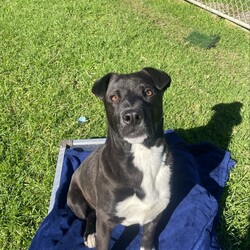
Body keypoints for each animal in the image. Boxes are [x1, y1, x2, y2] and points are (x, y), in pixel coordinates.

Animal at [66, 67, 172, 249]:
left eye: (149, 92)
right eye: (114, 97)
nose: (132, 116)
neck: (142, 155)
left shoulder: (154, 215)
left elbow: (146, 241)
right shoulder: (105, 221)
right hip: (76, 201)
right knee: (89, 215)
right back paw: (90, 234)